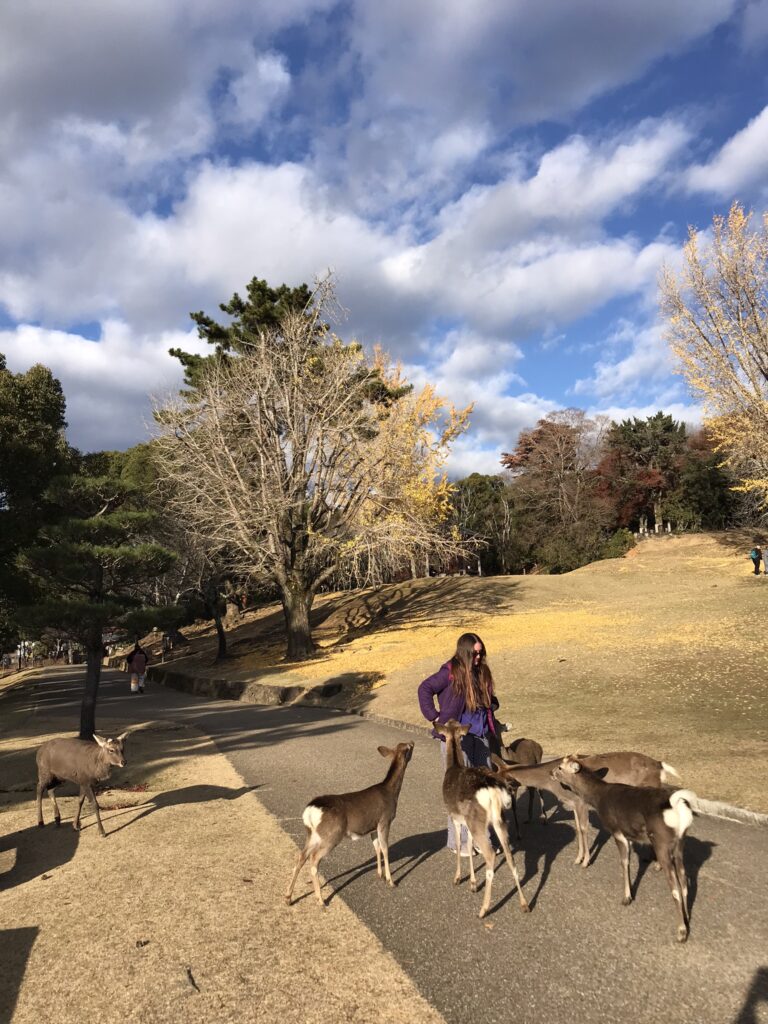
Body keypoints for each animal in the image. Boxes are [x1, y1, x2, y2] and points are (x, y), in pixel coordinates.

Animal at [285, 741, 414, 908]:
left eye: (403, 745)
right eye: (408, 747)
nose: (413, 742)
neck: (391, 793)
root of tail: (310, 812)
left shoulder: (372, 827)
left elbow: (377, 848)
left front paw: (379, 874)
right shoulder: (384, 821)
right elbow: (385, 849)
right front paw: (391, 881)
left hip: (312, 835)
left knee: (301, 856)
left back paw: (288, 897)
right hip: (331, 835)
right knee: (314, 860)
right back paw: (320, 900)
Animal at [437, 720, 529, 918]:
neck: (453, 766)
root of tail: (493, 793)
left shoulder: (455, 817)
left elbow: (459, 844)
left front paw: (458, 878)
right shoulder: (468, 822)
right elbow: (470, 845)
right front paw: (472, 883)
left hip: (479, 821)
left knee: (491, 855)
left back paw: (484, 909)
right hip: (498, 821)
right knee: (510, 858)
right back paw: (524, 904)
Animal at [551, 755, 696, 942]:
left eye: (560, 768)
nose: (551, 772)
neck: (598, 798)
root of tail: (678, 808)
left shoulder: (616, 830)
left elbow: (624, 862)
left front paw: (627, 897)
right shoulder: (628, 834)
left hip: (662, 842)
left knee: (676, 888)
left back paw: (681, 931)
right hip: (679, 845)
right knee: (684, 883)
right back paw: (686, 919)